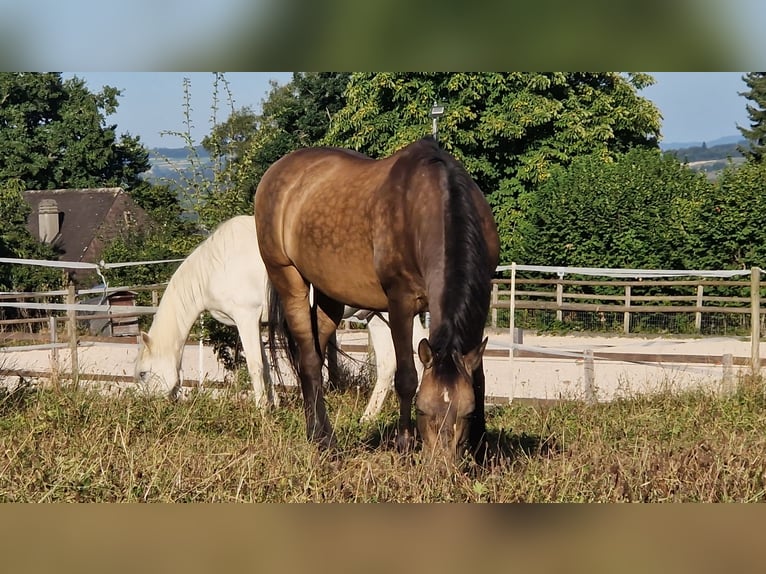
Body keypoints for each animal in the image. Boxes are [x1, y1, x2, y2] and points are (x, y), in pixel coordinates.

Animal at [135, 215, 427, 416]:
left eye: (142, 374)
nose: (148, 408)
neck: (216, 265)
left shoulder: (245, 317)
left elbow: (254, 365)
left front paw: (261, 411)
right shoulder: (259, 323)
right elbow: (265, 365)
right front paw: (272, 407)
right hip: (377, 316)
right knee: (389, 364)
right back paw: (368, 418)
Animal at [255, 137, 500, 460]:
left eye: (467, 414)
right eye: (423, 411)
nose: (441, 465)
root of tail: (277, 171)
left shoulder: (479, 305)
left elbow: (479, 379)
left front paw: (482, 447)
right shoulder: (400, 303)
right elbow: (407, 377)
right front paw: (404, 445)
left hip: (330, 295)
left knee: (317, 353)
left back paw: (316, 432)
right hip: (287, 277)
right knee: (308, 359)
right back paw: (324, 440)